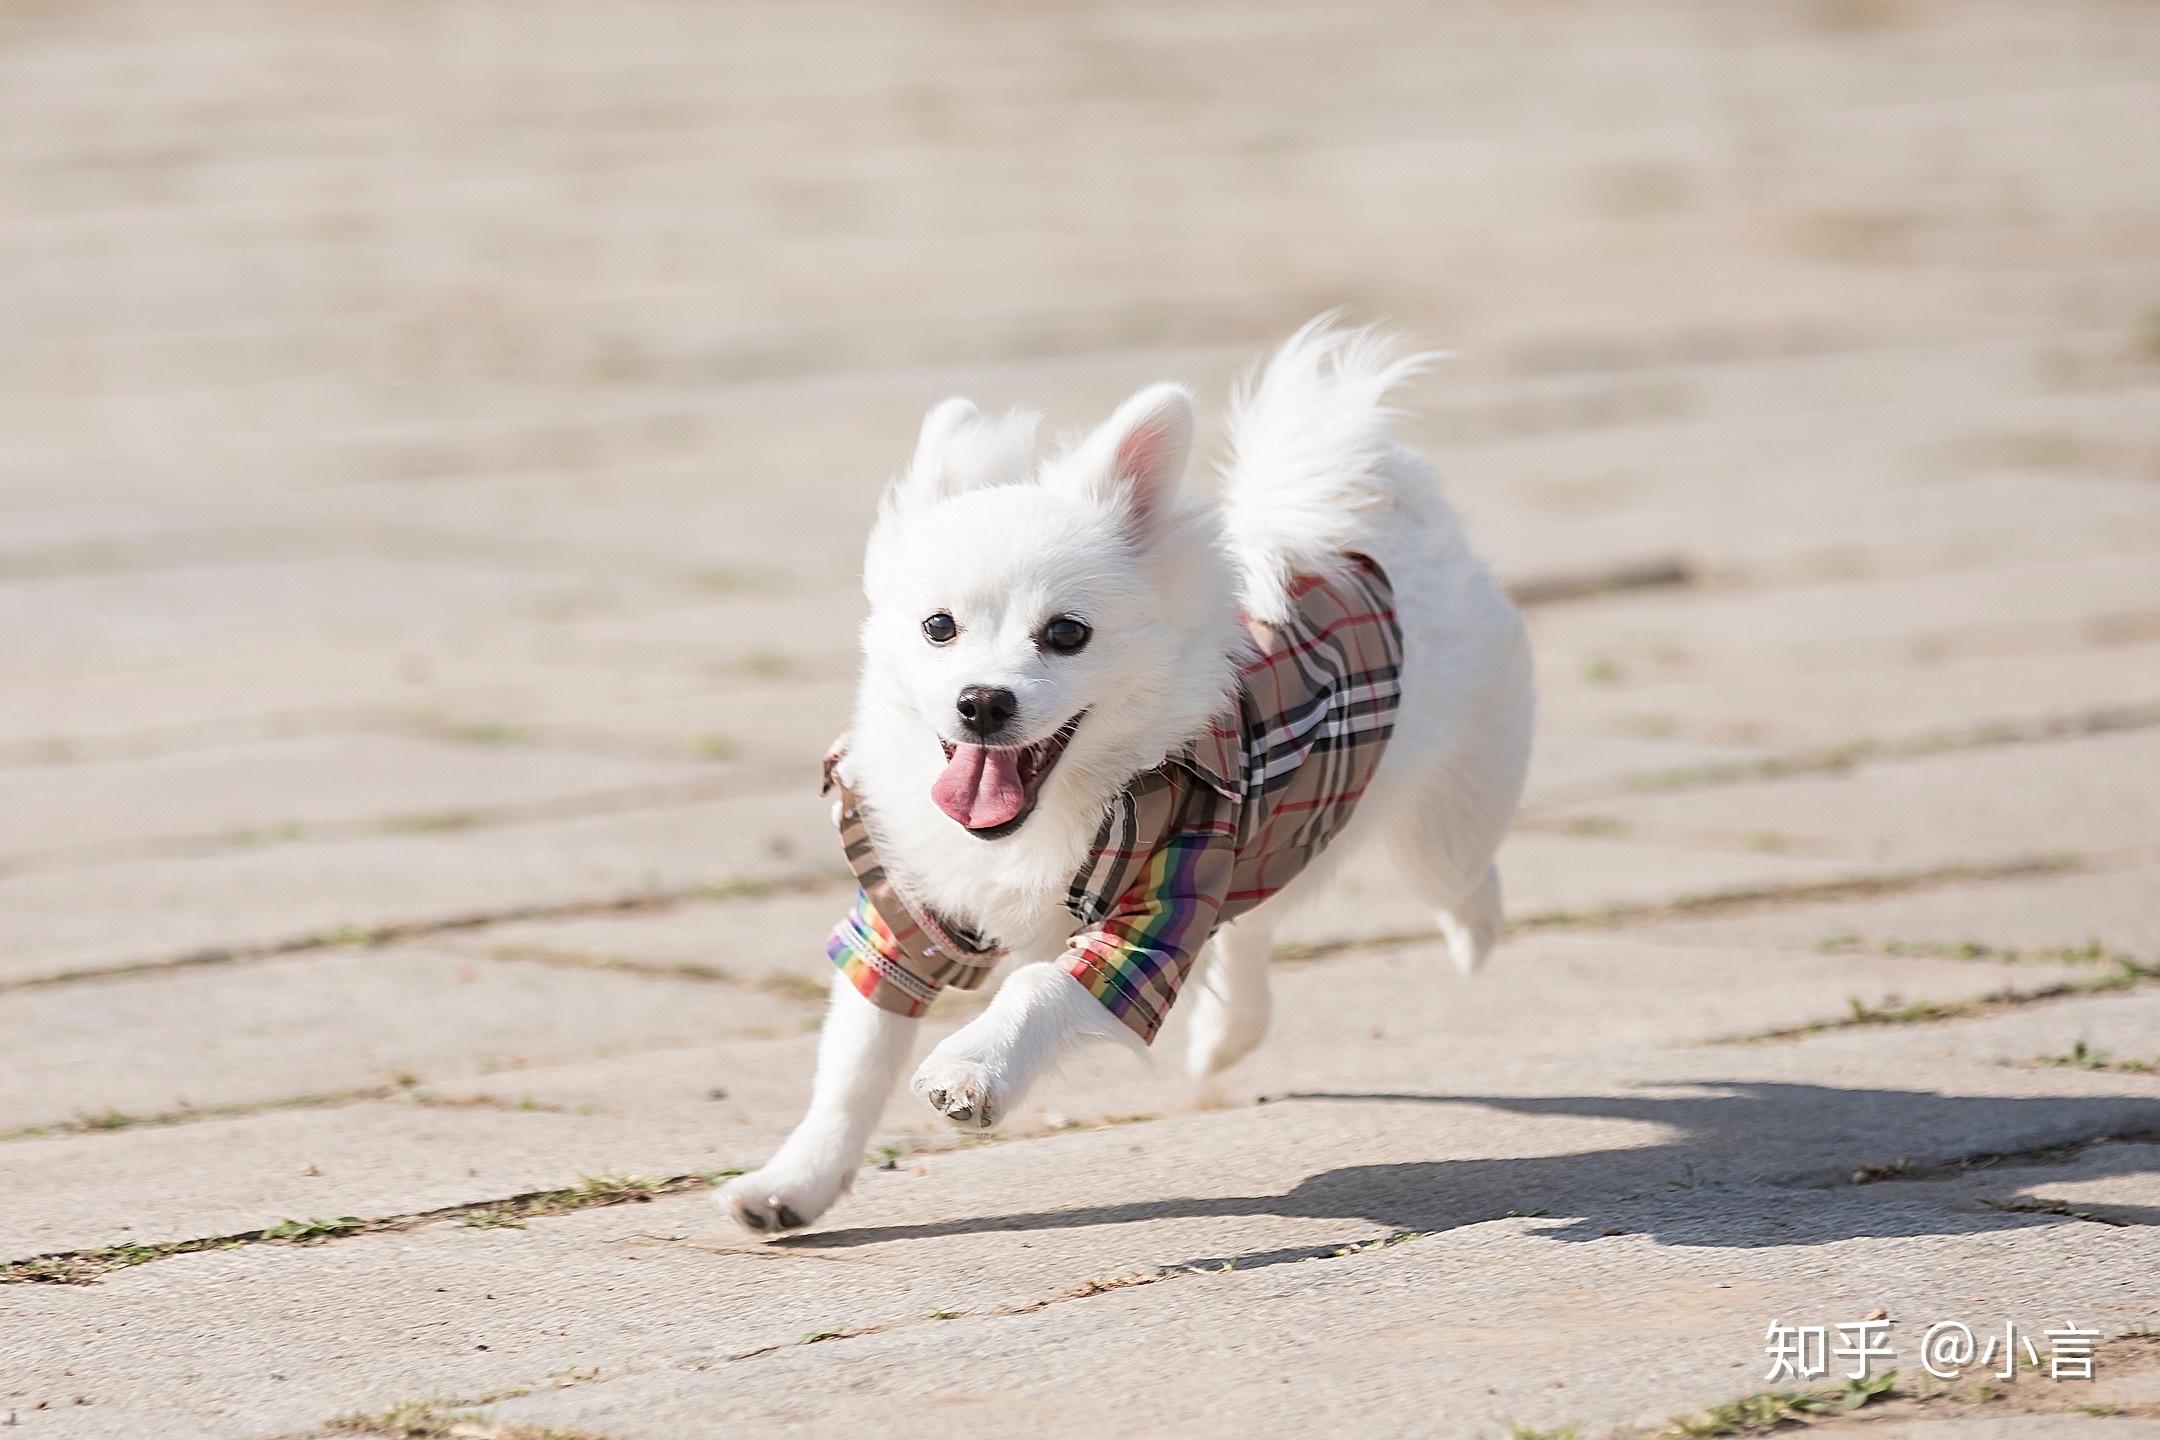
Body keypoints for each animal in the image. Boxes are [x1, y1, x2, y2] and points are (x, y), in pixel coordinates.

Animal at [725, 321, 1537, 1234]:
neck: (1047, 819)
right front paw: (793, 1183)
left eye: (1066, 634)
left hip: (1448, 809)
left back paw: (1472, 931)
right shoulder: (908, 910)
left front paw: (973, 1068)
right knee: (1255, 921)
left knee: (1458, 870)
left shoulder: (1153, 913)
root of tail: (1355, 529)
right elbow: (855, 1058)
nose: (981, 701)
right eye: (938, 627)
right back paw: (1228, 1032)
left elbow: (1040, 985)